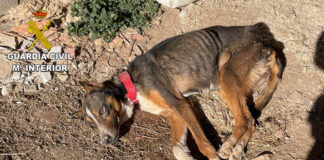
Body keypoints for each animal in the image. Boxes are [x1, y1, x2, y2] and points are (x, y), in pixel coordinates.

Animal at [74, 22, 284, 160]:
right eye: (90, 123)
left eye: (102, 111)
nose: (105, 142)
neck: (132, 85)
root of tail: (268, 45)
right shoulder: (174, 113)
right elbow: (177, 148)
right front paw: (187, 156)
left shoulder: (181, 103)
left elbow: (204, 144)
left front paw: (213, 155)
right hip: (242, 89)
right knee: (252, 120)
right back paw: (238, 148)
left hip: (226, 78)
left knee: (244, 121)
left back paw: (227, 146)